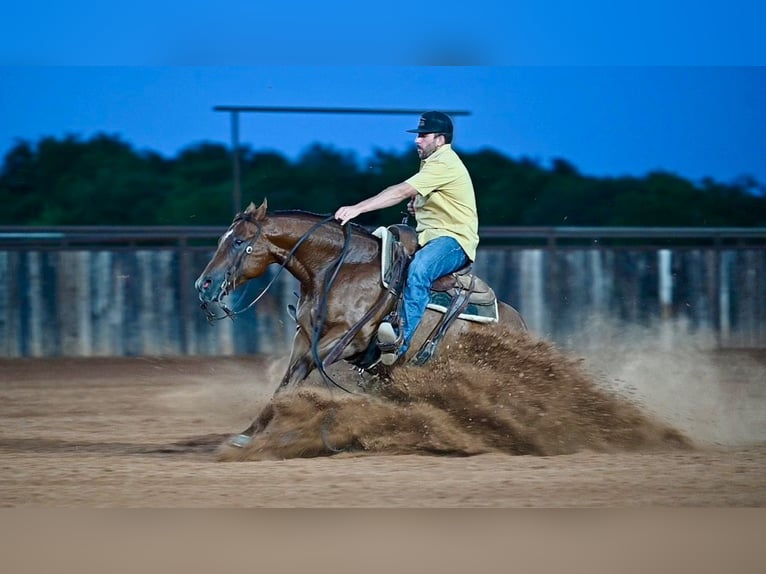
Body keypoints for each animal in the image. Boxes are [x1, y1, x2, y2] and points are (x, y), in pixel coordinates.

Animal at [194, 200, 527, 445]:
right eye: (223, 239)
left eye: (239, 241)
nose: (203, 284)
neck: (337, 269)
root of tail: (519, 325)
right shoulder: (305, 336)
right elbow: (287, 380)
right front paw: (250, 433)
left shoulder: (347, 339)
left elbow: (299, 376)